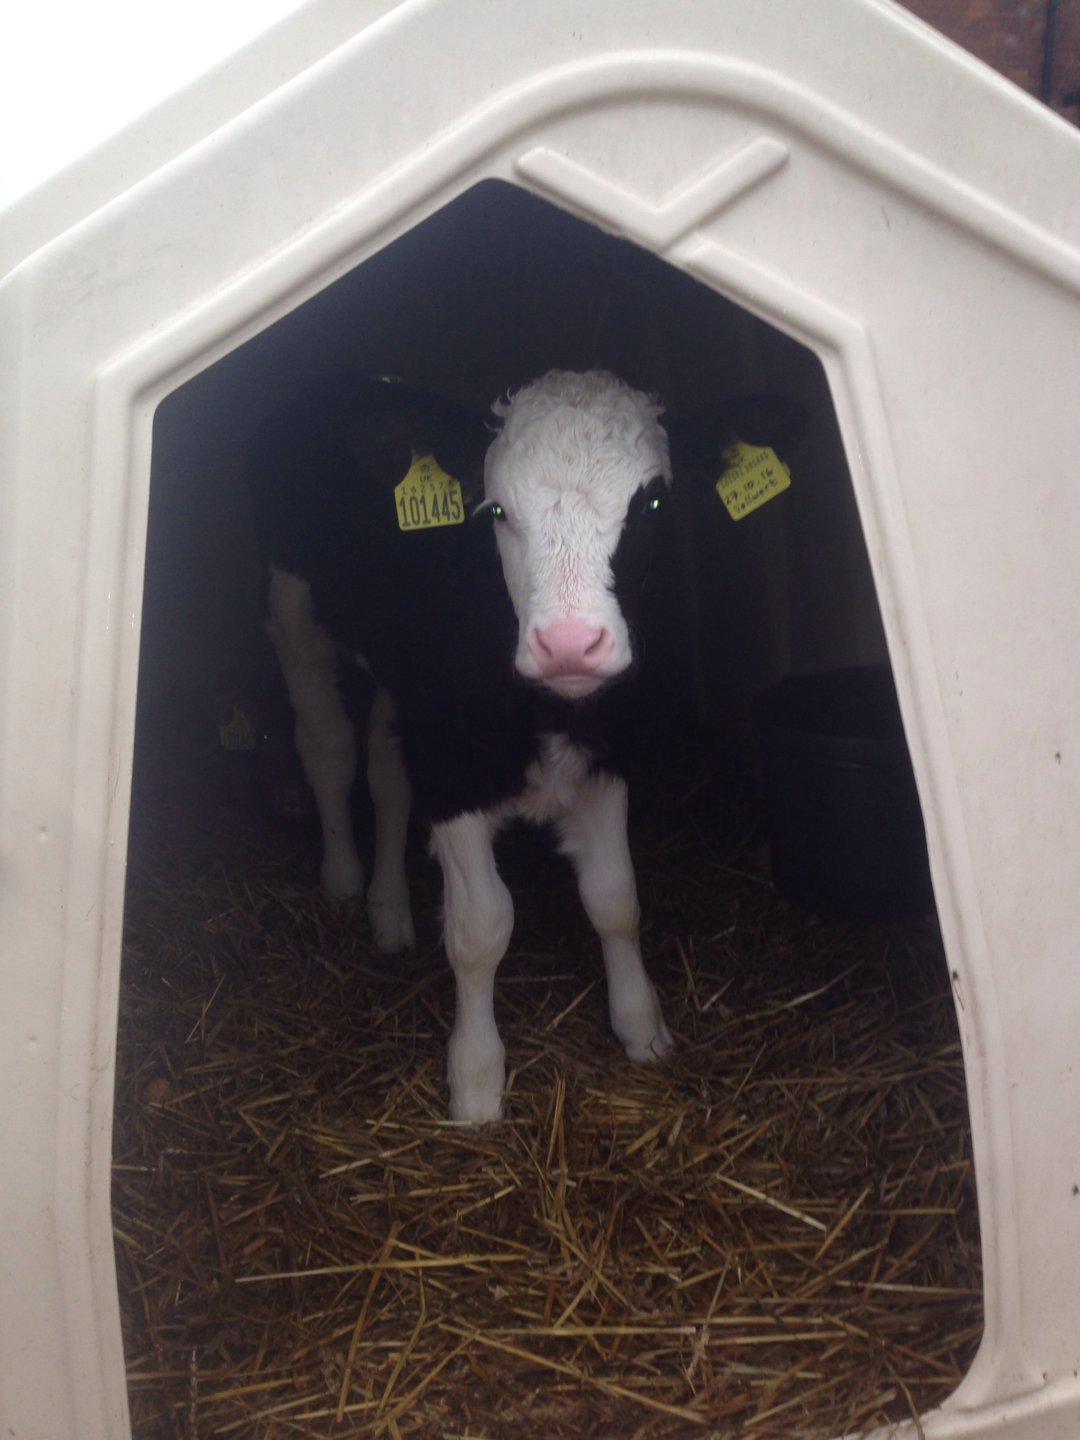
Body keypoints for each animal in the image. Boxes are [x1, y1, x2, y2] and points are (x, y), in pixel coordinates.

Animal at [248, 370, 796, 1122]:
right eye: (498, 511)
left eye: (652, 502)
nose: (568, 643)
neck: (547, 711)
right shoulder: (454, 768)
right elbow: (482, 928)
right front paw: (477, 1083)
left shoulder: (604, 756)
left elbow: (615, 898)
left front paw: (642, 1028)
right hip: (294, 605)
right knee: (329, 747)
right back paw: (344, 880)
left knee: (388, 773)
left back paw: (389, 911)